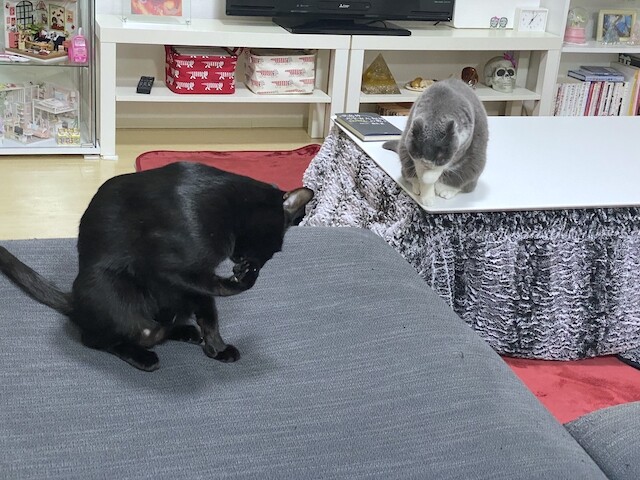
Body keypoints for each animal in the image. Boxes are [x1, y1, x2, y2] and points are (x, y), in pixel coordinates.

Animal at [0, 162, 313, 372]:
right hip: (112, 290)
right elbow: (221, 288)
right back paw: (144, 356)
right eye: (272, 249)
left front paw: (218, 349)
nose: (258, 263)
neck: (229, 206)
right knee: (103, 338)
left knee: (166, 323)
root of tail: (75, 301)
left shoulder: (193, 282)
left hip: (171, 300)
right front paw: (244, 278)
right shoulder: (172, 267)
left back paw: (187, 332)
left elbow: (210, 316)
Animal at [383, 77, 488, 206]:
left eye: (440, 155)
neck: (438, 110)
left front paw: (430, 179)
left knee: (461, 183)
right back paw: (418, 186)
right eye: (419, 151)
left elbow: (440, 168)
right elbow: (421, 174)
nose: (427, 162)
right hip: (404, 152)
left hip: (474, 165)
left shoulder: (461, 147)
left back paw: (446, 190)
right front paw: (427, 197)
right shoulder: (414, 156)